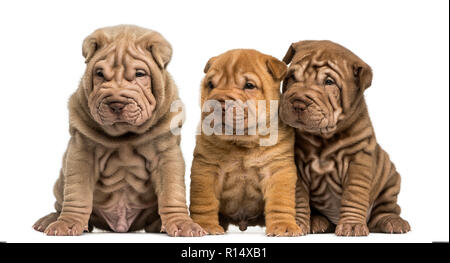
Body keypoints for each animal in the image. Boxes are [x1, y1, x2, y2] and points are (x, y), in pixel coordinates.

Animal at [32, 25, 205, 238]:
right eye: (99, 74)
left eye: (140, 74)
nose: (116, 104)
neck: (125, 135)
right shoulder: (81, 154)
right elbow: (78, 193)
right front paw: (68, 223)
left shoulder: (167, 155)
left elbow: (172, 193)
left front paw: (183, 224)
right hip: (59, 182)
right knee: (61, 202)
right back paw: (50, 219)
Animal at [188, 49, 312, 237]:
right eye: (210, 84)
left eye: (249, 85)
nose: (218, 102)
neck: (242, 142)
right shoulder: (206, 168)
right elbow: (204, 200)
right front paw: (205, 226)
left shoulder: (277, 169)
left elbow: (280, 201)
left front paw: (283, 226)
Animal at [282, 40, 412, 237]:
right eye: (292, 78)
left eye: (329, 82)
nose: (298, 102)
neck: (323, 138)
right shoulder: (296, 163)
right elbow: (298, 196)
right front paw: (296, 224)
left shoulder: (358, 161)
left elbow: (354, 194)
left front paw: (352, 225)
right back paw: (317, 221)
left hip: (390, 178)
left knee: (384, 209)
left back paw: (393, 222)